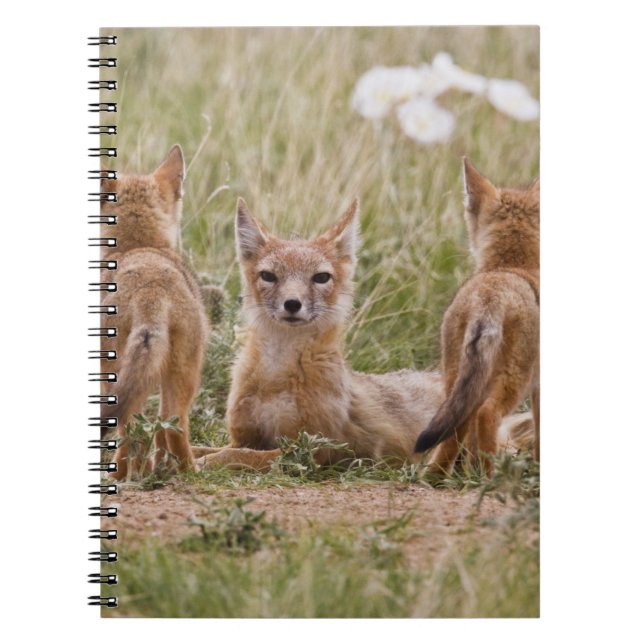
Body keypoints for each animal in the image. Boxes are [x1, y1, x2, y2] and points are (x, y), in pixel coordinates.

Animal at [100, 145, 209, 480]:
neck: (140, 246)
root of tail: (151, 289)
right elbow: (159, 431)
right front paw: (157, 466)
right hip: (182, 372)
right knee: (171, 424)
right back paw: (182, 471)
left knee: (132, 427)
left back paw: (123, 475)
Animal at [195, 197, 529, 472]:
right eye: (268, 276)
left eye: (320, 278)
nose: (292, 304)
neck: (275, 377)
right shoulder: (244, 437)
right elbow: (207, 447)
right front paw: (190, 459)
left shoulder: (311, 449)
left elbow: (236, 457)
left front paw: (201, 465)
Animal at [414, 158, 540, 475]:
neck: (507, 266)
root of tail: (489, 295)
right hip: (512, 381)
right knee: (486, 415)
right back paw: (489, 475)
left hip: (456, 380)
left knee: (456, 428)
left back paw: (437, 475)